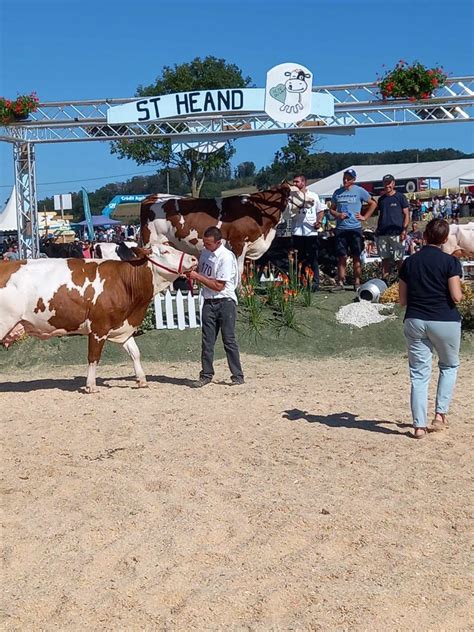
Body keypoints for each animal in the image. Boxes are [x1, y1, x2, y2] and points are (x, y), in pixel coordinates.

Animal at [0, 244, 196, 392]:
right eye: (165, 251)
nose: (194, 258)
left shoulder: (121, 326)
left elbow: (135, 353)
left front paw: (141, 380)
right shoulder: (98, 328)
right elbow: (93, 356)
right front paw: (91, 386)